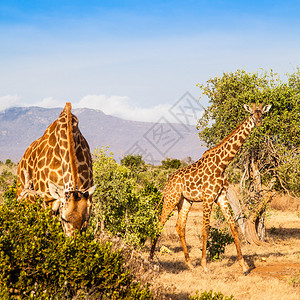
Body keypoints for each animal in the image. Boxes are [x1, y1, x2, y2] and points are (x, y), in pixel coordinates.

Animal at [16, 103, 96, 237]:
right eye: (64, 218)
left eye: (84, 219)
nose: (73, 240)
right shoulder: (47, 200)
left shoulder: (88, 200)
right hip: (24, 197)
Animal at [150, 103, 272, 274]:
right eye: (253, 114)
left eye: (263, 114)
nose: (259, 123)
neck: (222, 164)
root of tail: (167, 183)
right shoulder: (208, 197)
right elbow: (206, 229)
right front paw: (204, 265)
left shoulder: (221, 197)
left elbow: (234, 227)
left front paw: (244, 266)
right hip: (171, 198)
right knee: (159, 223)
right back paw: (150, 259)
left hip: (185, 201)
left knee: (180, 226)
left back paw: (189, 264)